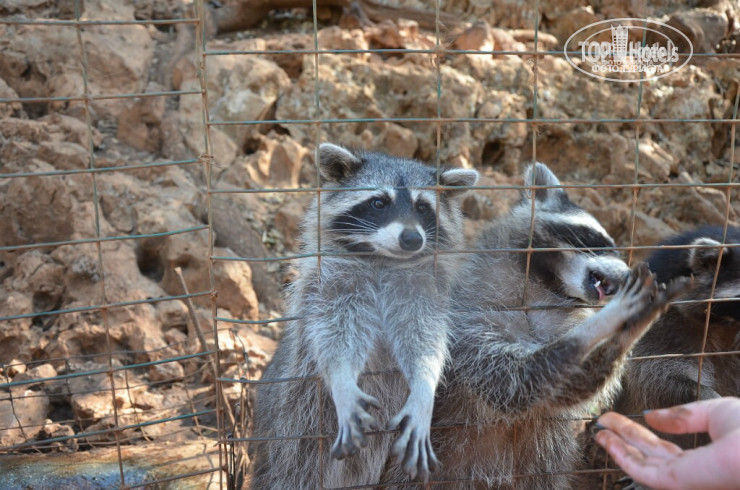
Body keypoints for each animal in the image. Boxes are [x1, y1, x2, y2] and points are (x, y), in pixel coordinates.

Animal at [249, 144, 479, 488]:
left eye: (422, 207)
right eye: (379, 203)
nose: (412, 239)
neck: (383, 260)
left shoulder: (423, 293)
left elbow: (424, 340)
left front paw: (424, 387)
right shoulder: (332, 285)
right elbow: (334, 336)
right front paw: (342, 379)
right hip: (294, 427)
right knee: (295, 470)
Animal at [379, 163, 689, 489]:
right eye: (594, 237)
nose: (629, 273)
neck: (541, 289)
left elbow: (569, 386)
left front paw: (627, 330)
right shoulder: (467, 319)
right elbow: (513, 382)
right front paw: (612, 319)